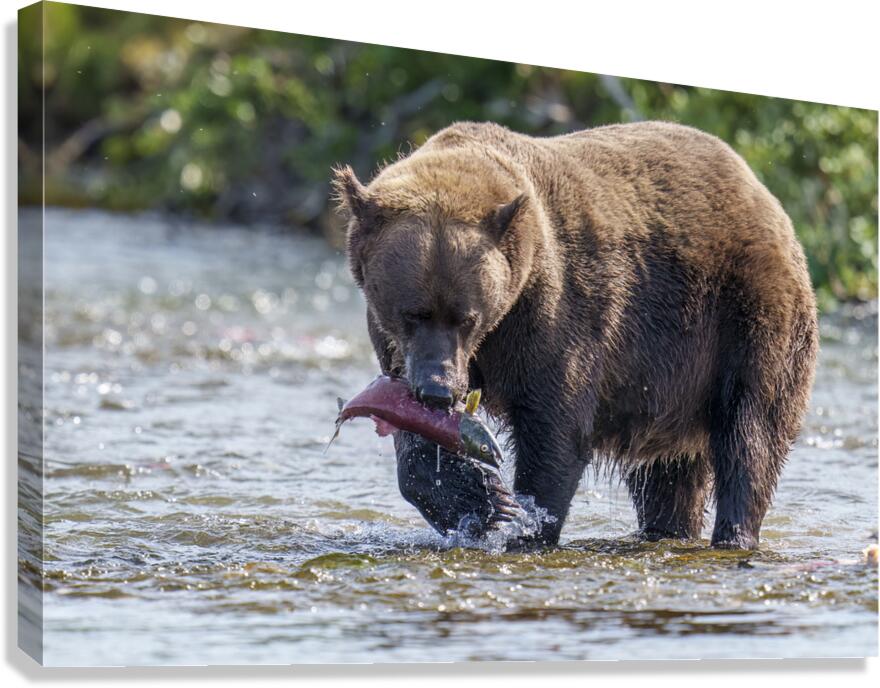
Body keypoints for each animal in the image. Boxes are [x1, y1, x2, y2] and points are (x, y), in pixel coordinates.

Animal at [333, 120, 818, 550]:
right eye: (413, 313)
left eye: (466, 317)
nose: (439, 390)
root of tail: (763, 194)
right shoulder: (395, 347)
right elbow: (415, 437)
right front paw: (483, 504)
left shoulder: (556, 315)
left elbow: (555, 426)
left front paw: (524, 522)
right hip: (672, 380)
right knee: (669, 476)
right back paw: (666, 530)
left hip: (744, 319)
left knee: (750, 434)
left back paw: (734, 534)